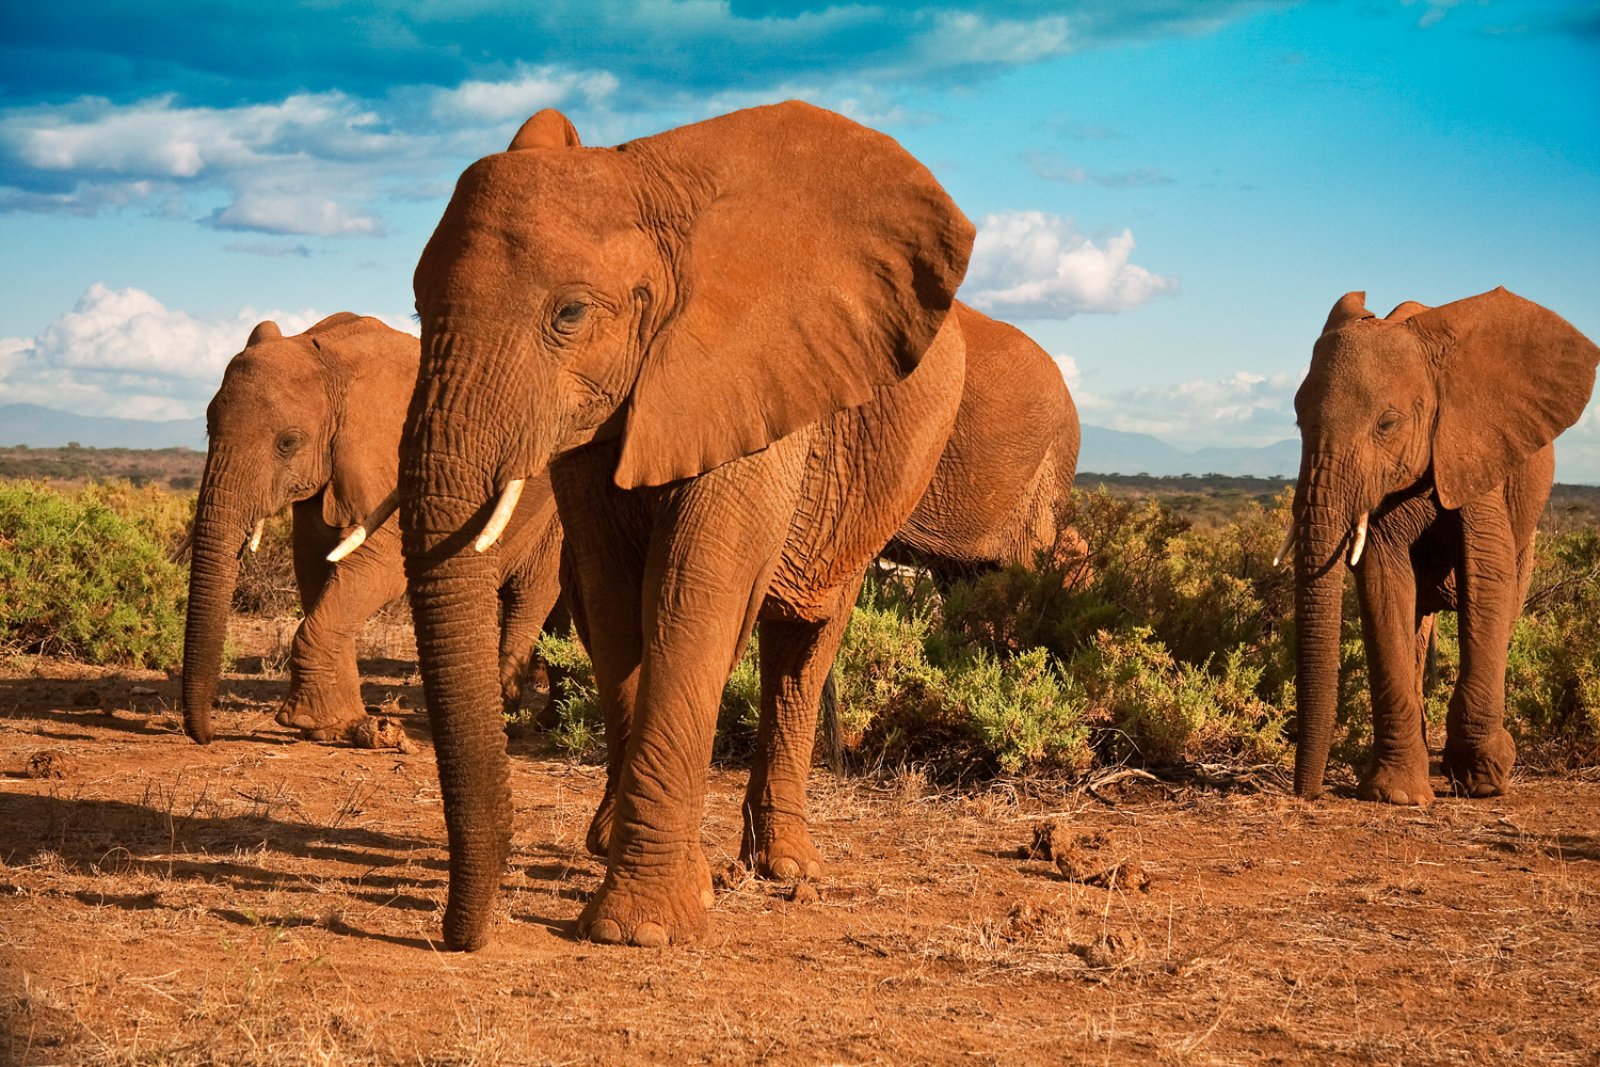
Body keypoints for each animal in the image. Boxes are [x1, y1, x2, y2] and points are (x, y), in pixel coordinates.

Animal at [180, 313, 566, 748]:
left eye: (288, 442)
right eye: (208, 429)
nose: (207, 736)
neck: (333, 360)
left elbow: (379, 568)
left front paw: (309, 720)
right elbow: (314, 568)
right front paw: (338, 726)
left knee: (530, 595)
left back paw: (508, 721)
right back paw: (550, 721)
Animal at [403, 103, 972, 947]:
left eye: (570, 314)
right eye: (416, 308)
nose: (459, 936)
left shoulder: (752, 380)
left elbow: (694, 590)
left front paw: (639, 929)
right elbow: (612, 601)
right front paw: (645, 874)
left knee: (804, 638)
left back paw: (784, 867)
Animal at [1286, 287, 1600, 806]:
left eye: (1387, 423)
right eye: (1296, 420)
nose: (1305, 793)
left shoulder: (1475, 448)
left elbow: (1488, 575)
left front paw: (1485, 779)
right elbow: (1383, 581)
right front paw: (1396, 795)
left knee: (1508, 597)